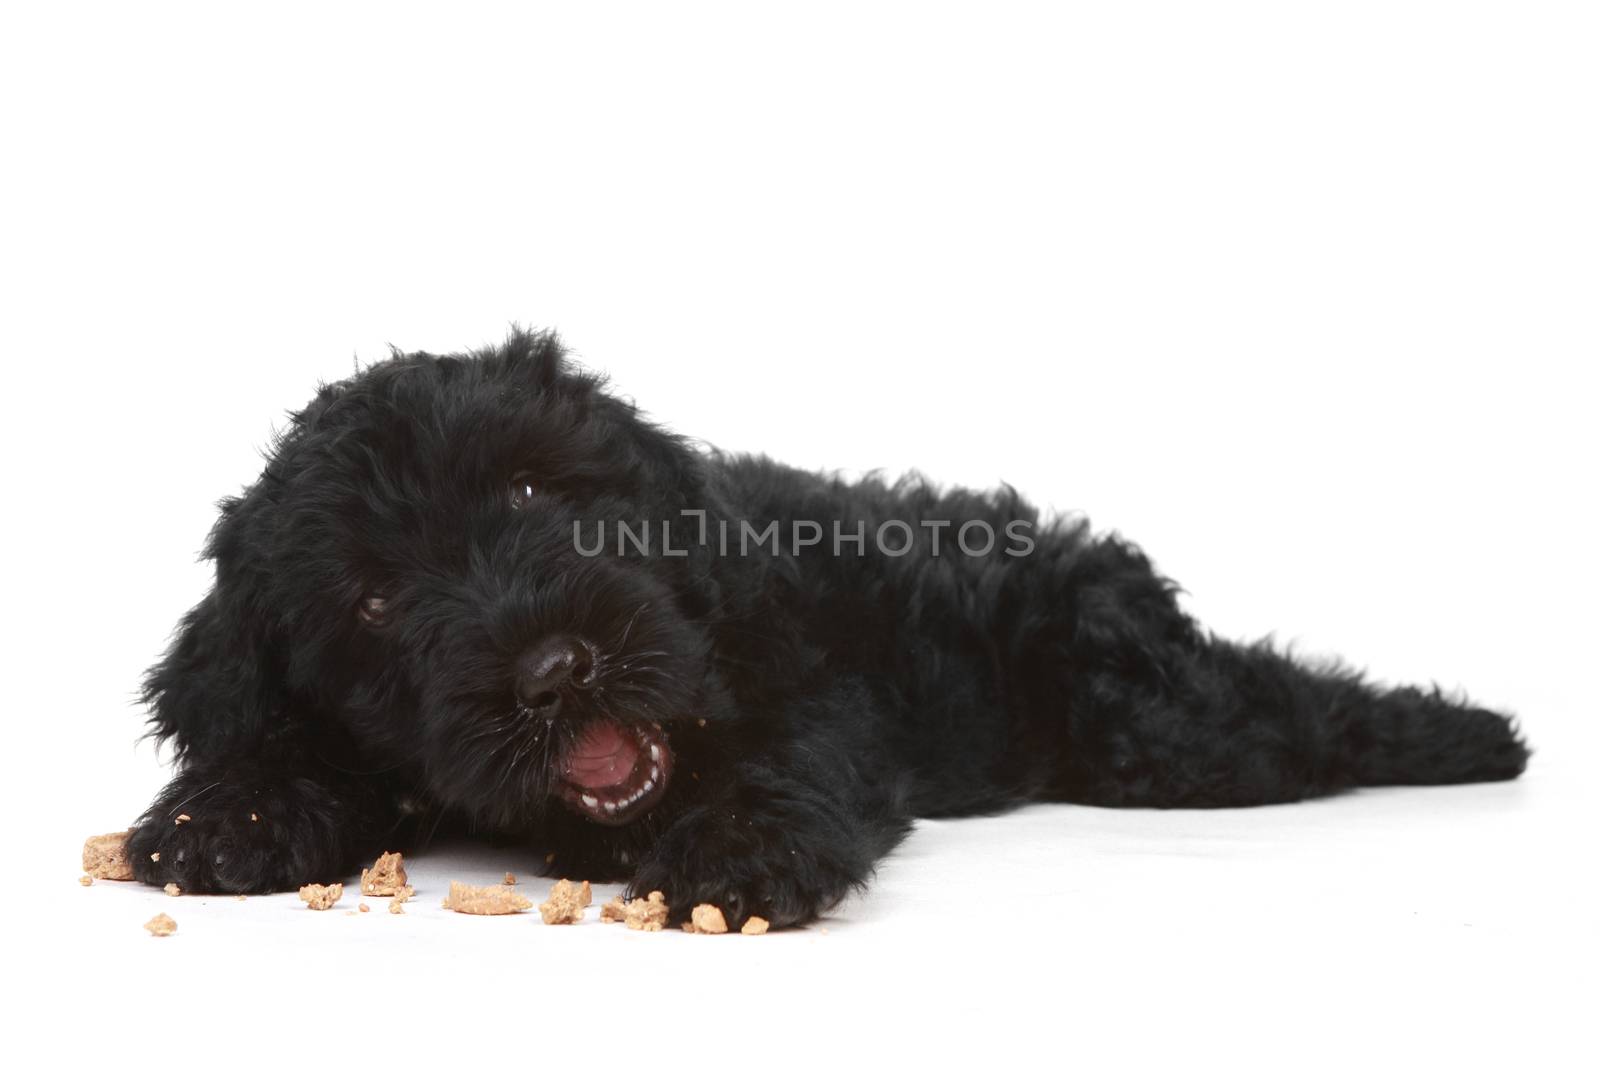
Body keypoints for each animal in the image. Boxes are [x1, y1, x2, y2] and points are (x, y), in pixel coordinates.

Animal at [124, 331, 1523, 927]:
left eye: (528, 492)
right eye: (372, 601)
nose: (554, 667)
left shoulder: (812, 694)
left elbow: (777, 760)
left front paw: (741, 849)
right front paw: (228, 812)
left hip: (1162, 727)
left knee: (1293, 704)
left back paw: (1472, 732)